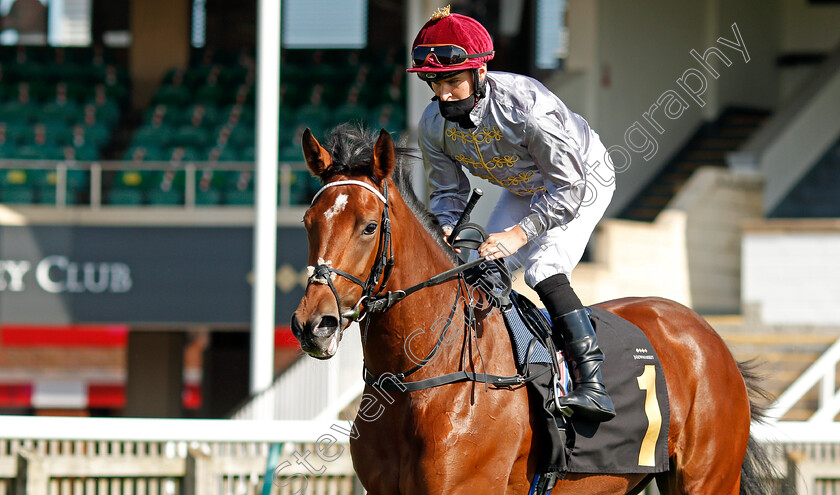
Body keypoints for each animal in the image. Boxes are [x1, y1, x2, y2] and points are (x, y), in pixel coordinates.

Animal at [292, 126, 776, 494]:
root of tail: (707, 334)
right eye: (307, 222)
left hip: (707, 479)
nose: (314, 324)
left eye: (369, 226)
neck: (419, 379)